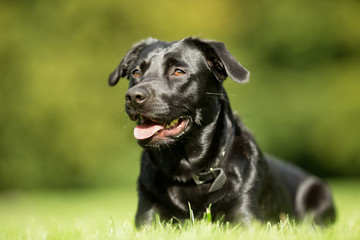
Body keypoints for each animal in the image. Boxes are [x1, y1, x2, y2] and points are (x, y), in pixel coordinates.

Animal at [108, 37, 336, 227]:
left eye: (178, 71)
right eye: (136, 72)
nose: (133, 96)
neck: (188, 172)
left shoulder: (246, 218)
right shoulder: (148, 219)